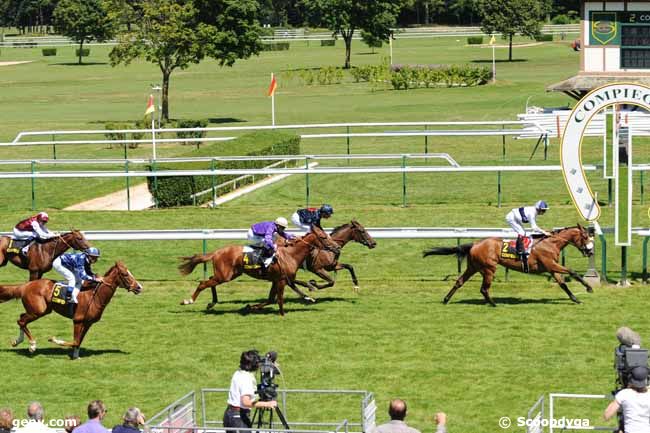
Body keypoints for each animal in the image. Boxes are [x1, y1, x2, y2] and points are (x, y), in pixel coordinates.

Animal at [0, 260, 142, 358]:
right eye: (125, 274)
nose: (139, 287)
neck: (94, 295)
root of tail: (25, 285)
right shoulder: (77, 320)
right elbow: (74, 341)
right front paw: (54, 339)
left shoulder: (88, 323)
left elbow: (78, 341)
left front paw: (76, 356)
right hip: (38, 311)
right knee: (21, 321)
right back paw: (32, 345)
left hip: (40, 310)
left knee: (21, 318)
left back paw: (17, 341)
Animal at [177, 224, 340, 316]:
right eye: (323, 237)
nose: (337, 247)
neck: (291, 254)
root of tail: (216, 252)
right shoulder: (281, 280)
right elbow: (279, 298)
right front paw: (282, 314)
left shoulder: (277, 279)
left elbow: (271, 298)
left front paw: (252, 306)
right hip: (224, 275)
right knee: (203, 283)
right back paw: (188, 300)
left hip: (228, 275)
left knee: (210, 281)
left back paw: (212, 303)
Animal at [420, 224, 592, 306]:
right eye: (585, 237)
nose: (590, 251)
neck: (551, 243)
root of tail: (475, 244)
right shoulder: (551, 264)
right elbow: (572, 271)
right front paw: (589, 288)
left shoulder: (551, 268)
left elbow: (563, 284)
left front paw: (576, 299)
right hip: (489, 268)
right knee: (484, 289)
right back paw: (493, 303)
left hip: (473, 267)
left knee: (459, 281)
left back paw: (446, 299)